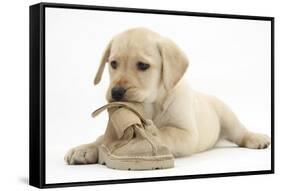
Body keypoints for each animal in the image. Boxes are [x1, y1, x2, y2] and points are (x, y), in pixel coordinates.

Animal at [65, 27, 270, 165]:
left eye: (143, 66)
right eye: (113, 64)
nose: (116, 92)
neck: (152, 104)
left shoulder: (186, 134)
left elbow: (166, 132)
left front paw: (149, 134)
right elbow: (103, 139)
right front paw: (86, 148)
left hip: (227, 116)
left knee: (240, 132)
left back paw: (256, 138)